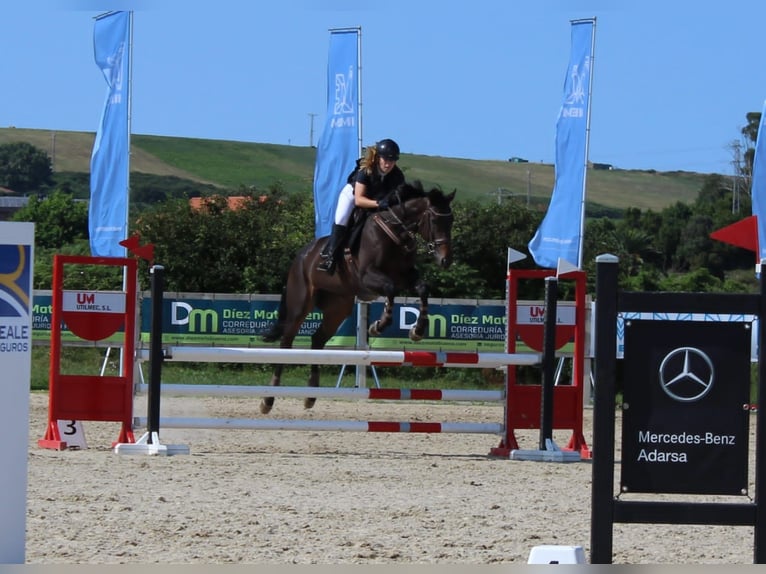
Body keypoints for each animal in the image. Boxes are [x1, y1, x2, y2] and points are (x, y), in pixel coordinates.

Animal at [264, 183, 456, 414]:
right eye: (435, 220)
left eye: (451, 221)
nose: (445, 260)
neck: (396, 232)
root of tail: (301, 256)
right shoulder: (368, 276)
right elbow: (390, 289)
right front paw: (378, 326)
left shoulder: (406, 276)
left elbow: (423, 289)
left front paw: (417, 330)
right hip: (300, 305)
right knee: (286, 342)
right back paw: (268, 399)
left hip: (338, 309)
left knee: (317, 339)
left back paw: (311, 394)